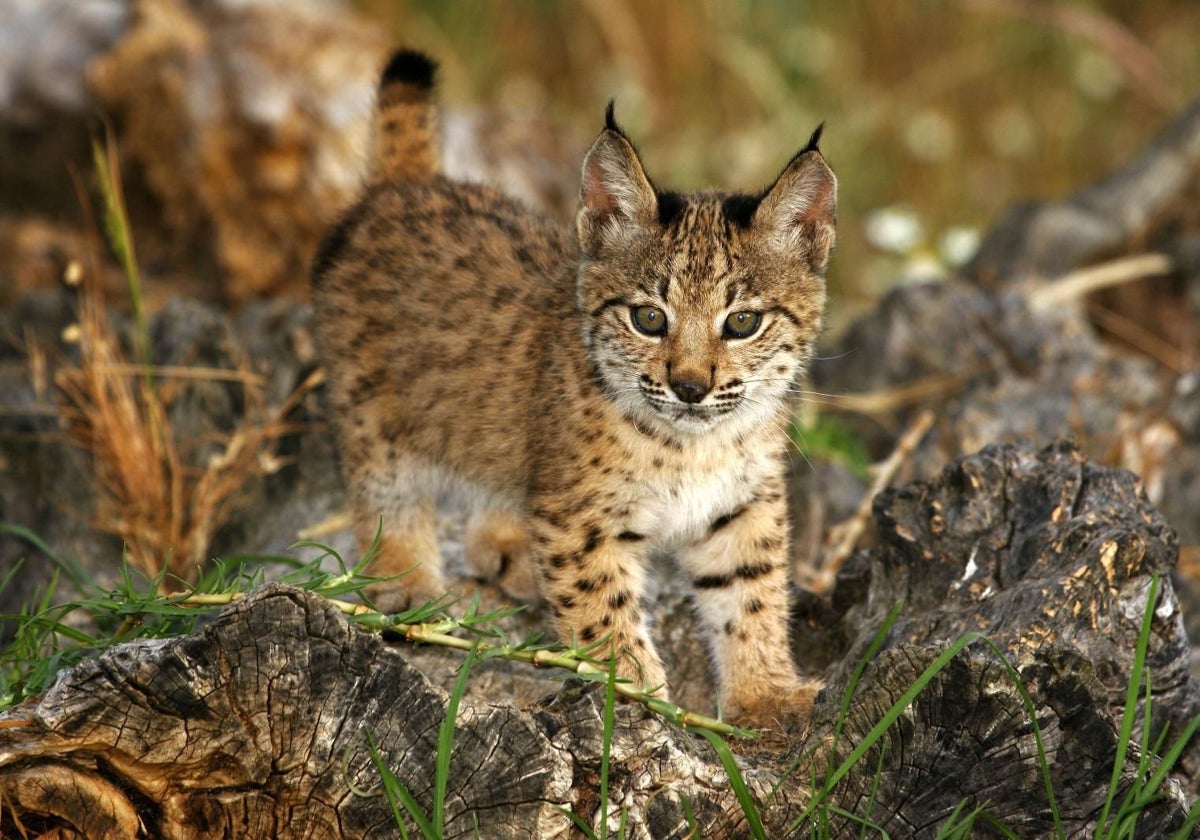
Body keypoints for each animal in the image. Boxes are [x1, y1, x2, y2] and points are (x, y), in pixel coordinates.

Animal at [309, 49, 835, 724]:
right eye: (648, 319)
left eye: (742, 323)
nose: (690, 387)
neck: (692, 442)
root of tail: (412, 187)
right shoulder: (579, 520)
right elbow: (602, 608)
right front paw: (634, 694)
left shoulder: (740, 504)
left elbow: (751, 597)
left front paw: (764, 697)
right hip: (371, 402)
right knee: (385, 482)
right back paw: (402, 580)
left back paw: (506, 546)